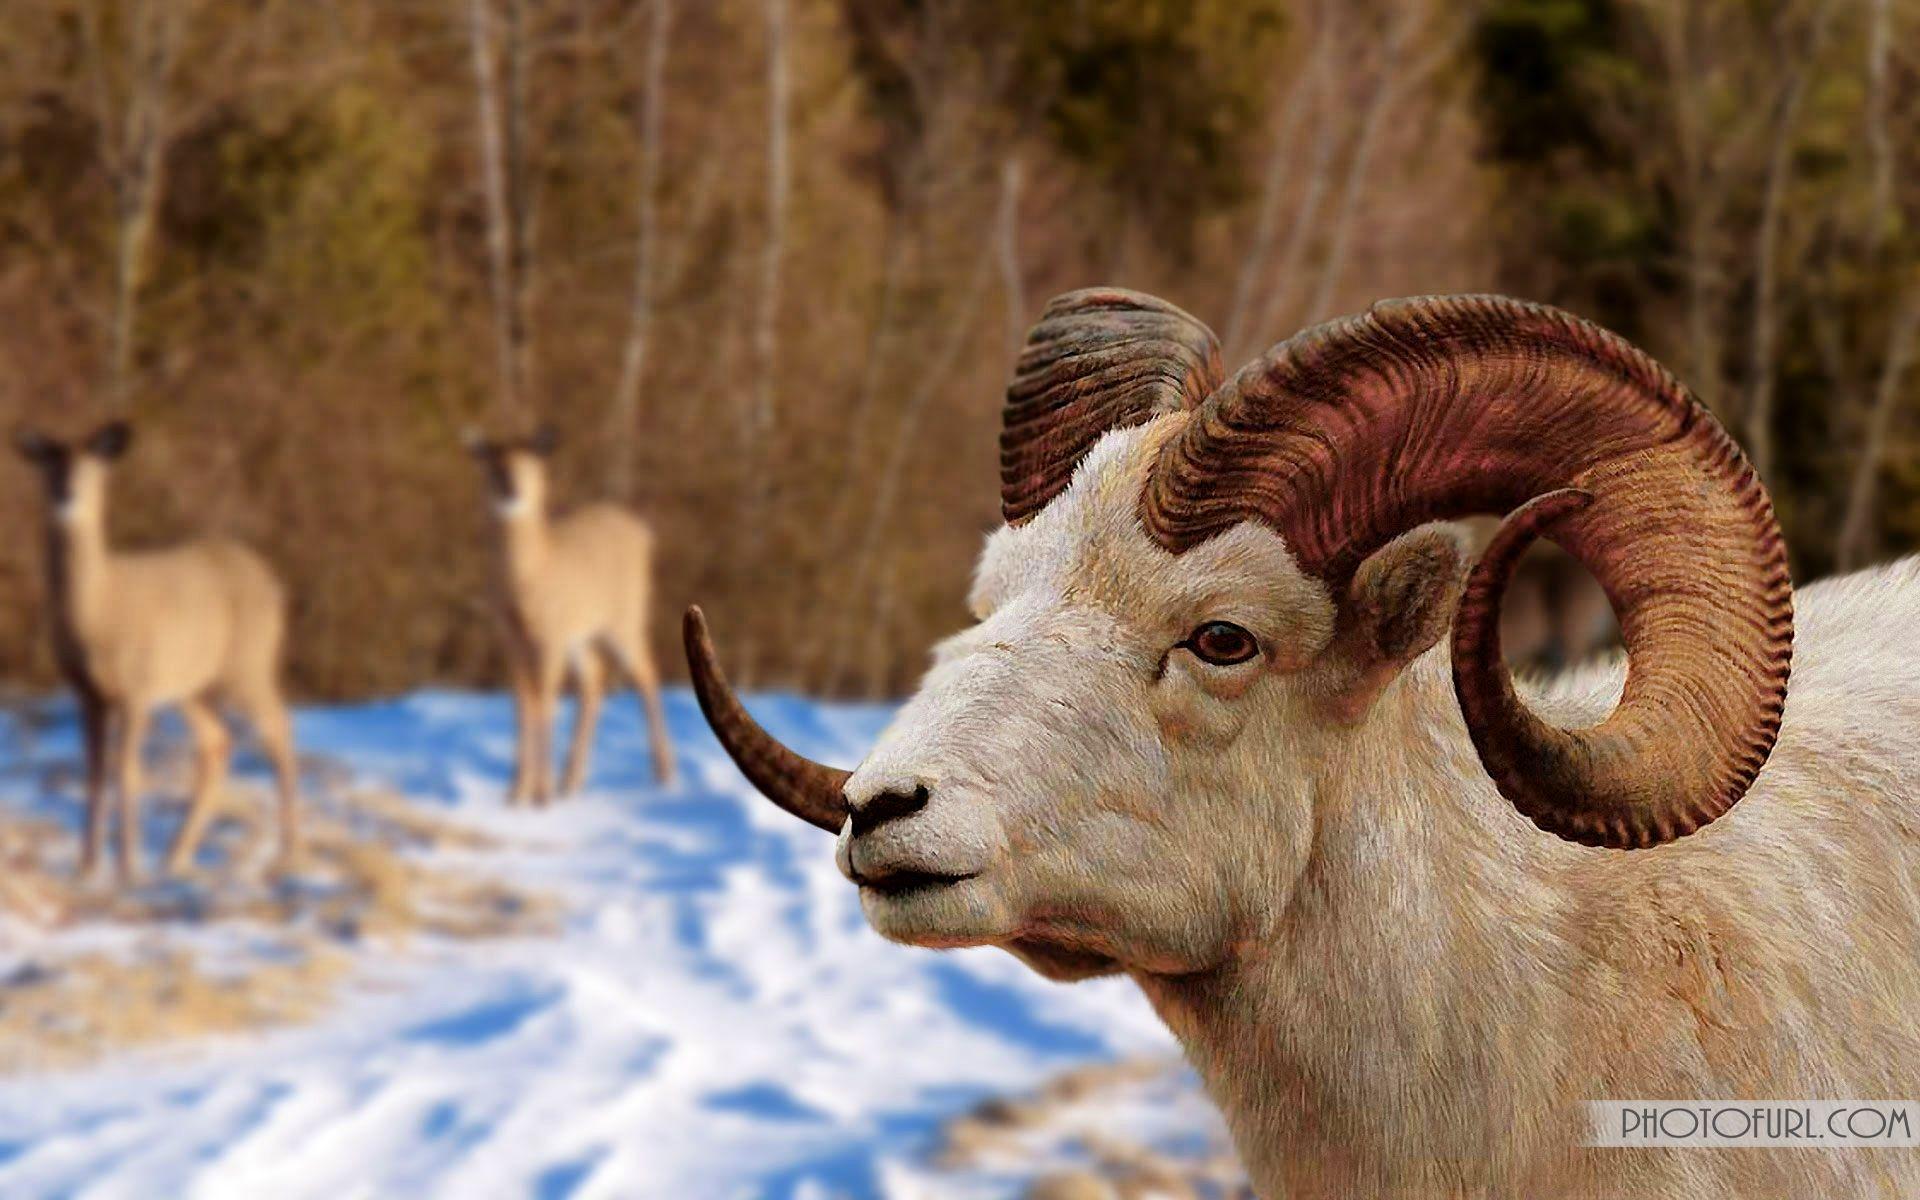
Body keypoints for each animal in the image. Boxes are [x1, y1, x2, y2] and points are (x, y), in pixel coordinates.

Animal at [12, 421, 301, 882]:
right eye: (50, 464)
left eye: (92, 468)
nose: (66, 495)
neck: (98, 611)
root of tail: (269, 578)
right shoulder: (87, 692)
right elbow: (94, 772)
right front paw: (87, 866)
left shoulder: (137, 686)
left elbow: (128, 773)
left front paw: (127, 867)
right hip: (194, 685)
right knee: (218, 742)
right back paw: (175, 856)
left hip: (249, 663)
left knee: (279, 727)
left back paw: (290, 853)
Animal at [466, 426, 675, 803]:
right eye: (493, 466)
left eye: (530, 464)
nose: (511, 489)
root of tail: (643, 532)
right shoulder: (510, 637)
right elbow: (522, 706)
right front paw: (515, 792)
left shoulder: (552, 633)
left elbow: (545, 703)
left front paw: (540, 793)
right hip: (583, 636)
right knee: (594, 681)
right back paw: (571, 780)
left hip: (625, 616)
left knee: (647, 673)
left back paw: (664, 774)